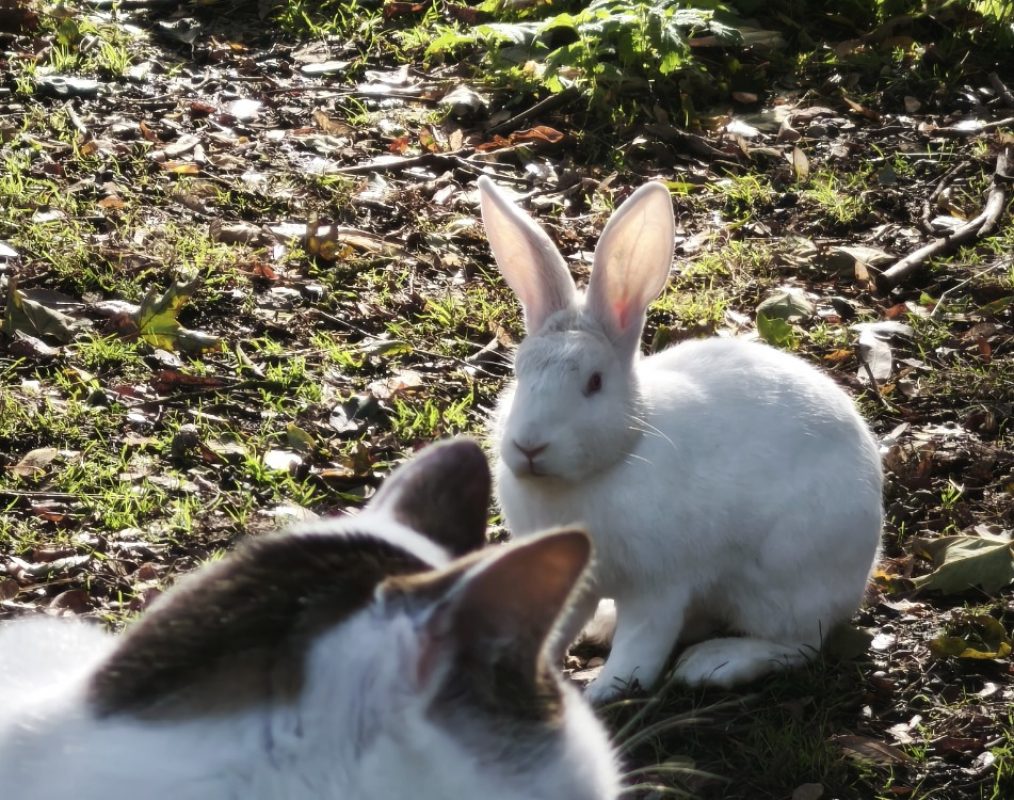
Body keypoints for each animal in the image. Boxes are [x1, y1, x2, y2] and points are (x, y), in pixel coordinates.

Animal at [477, 176, 883, 703]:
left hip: (787, 578)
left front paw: (601, 691)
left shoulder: (658, 586)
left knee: (799, 642)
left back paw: (715, 664)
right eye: (518, 373)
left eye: (594, 383)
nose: (529, 447)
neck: (617, 455)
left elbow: (641, 646)